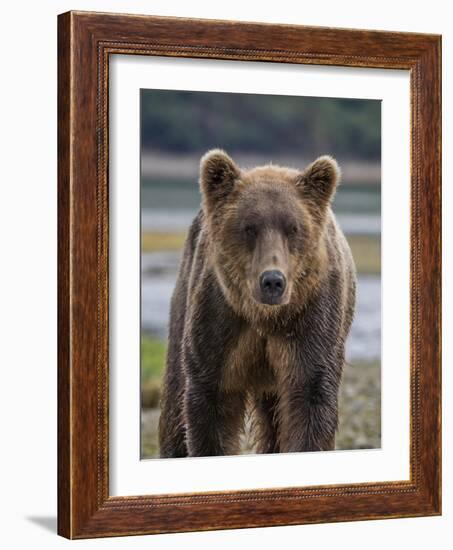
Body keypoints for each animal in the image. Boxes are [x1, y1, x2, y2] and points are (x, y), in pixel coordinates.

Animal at [157, 150, 354, 458]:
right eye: (249, 227)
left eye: (293, 228)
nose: (272, 281)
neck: (265, 317)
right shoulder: (219, 320)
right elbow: (211, 401)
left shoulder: (311, 320)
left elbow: (310, 397)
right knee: (175, 398)